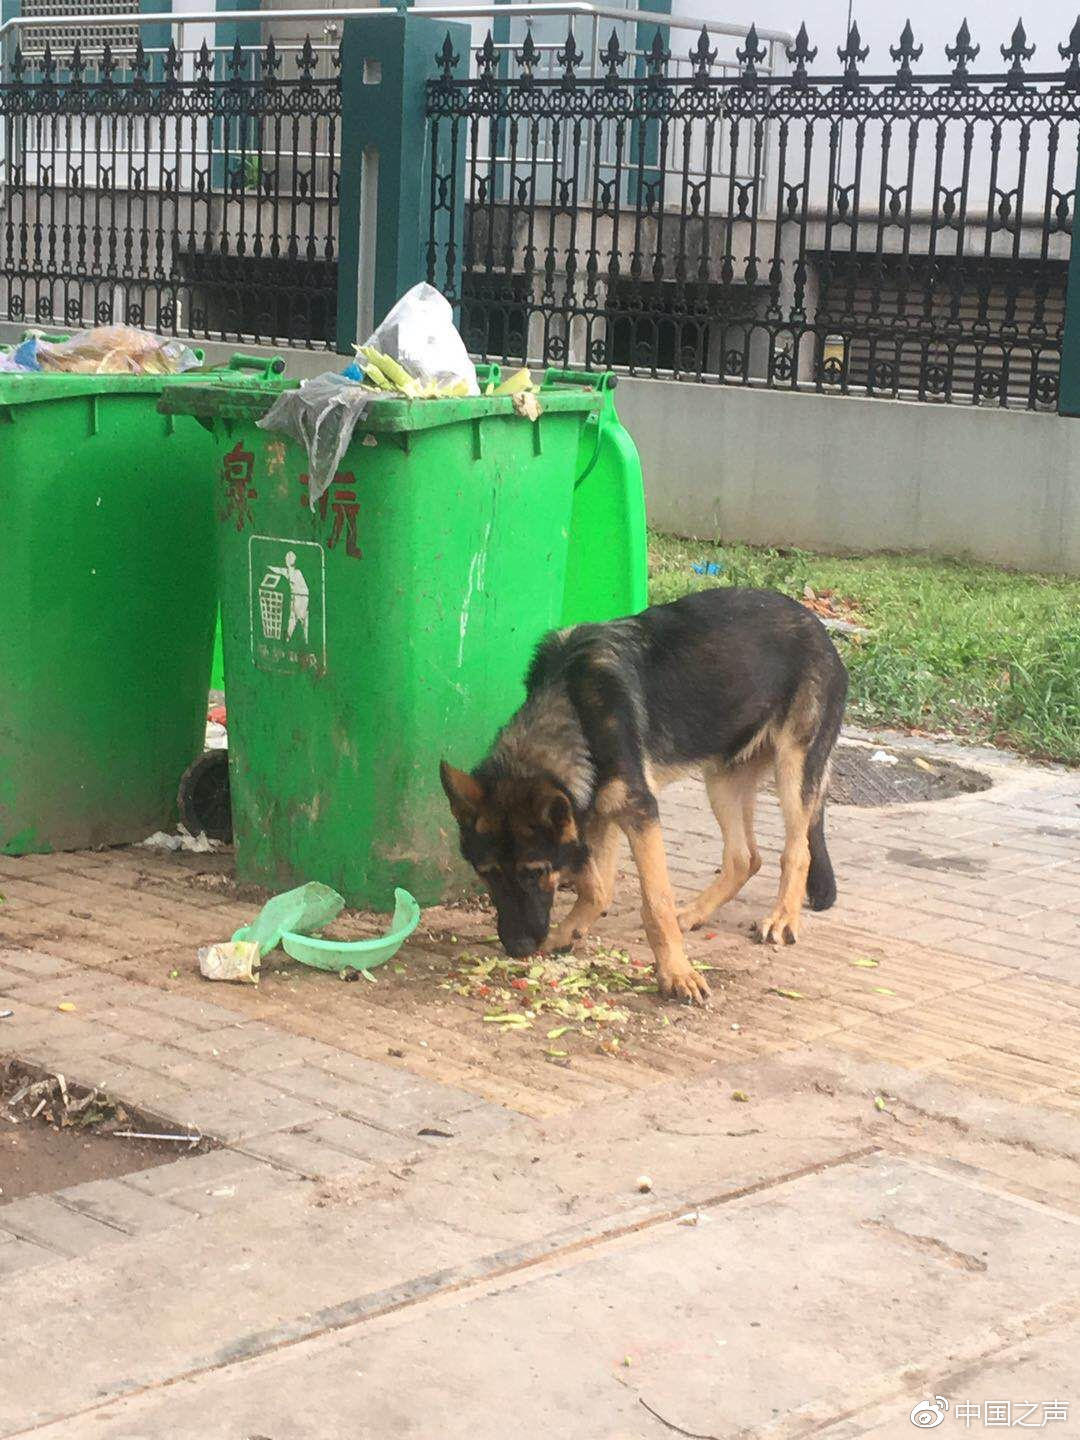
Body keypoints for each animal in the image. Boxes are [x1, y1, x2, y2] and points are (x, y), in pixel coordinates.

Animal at [440, 584, 846, 1002]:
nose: (518, 947)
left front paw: (677, 973)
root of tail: (816, 624)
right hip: (722, 780)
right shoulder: (599, 811)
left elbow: (655, 902)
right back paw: (695, 913)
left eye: (535, 871)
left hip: (793, 769)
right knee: (744, 858)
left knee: (797, 851)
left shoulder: (638, 811)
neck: (573, 707)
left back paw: (782, 917)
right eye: (486, 873)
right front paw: (565, 934)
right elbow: (597, 887)